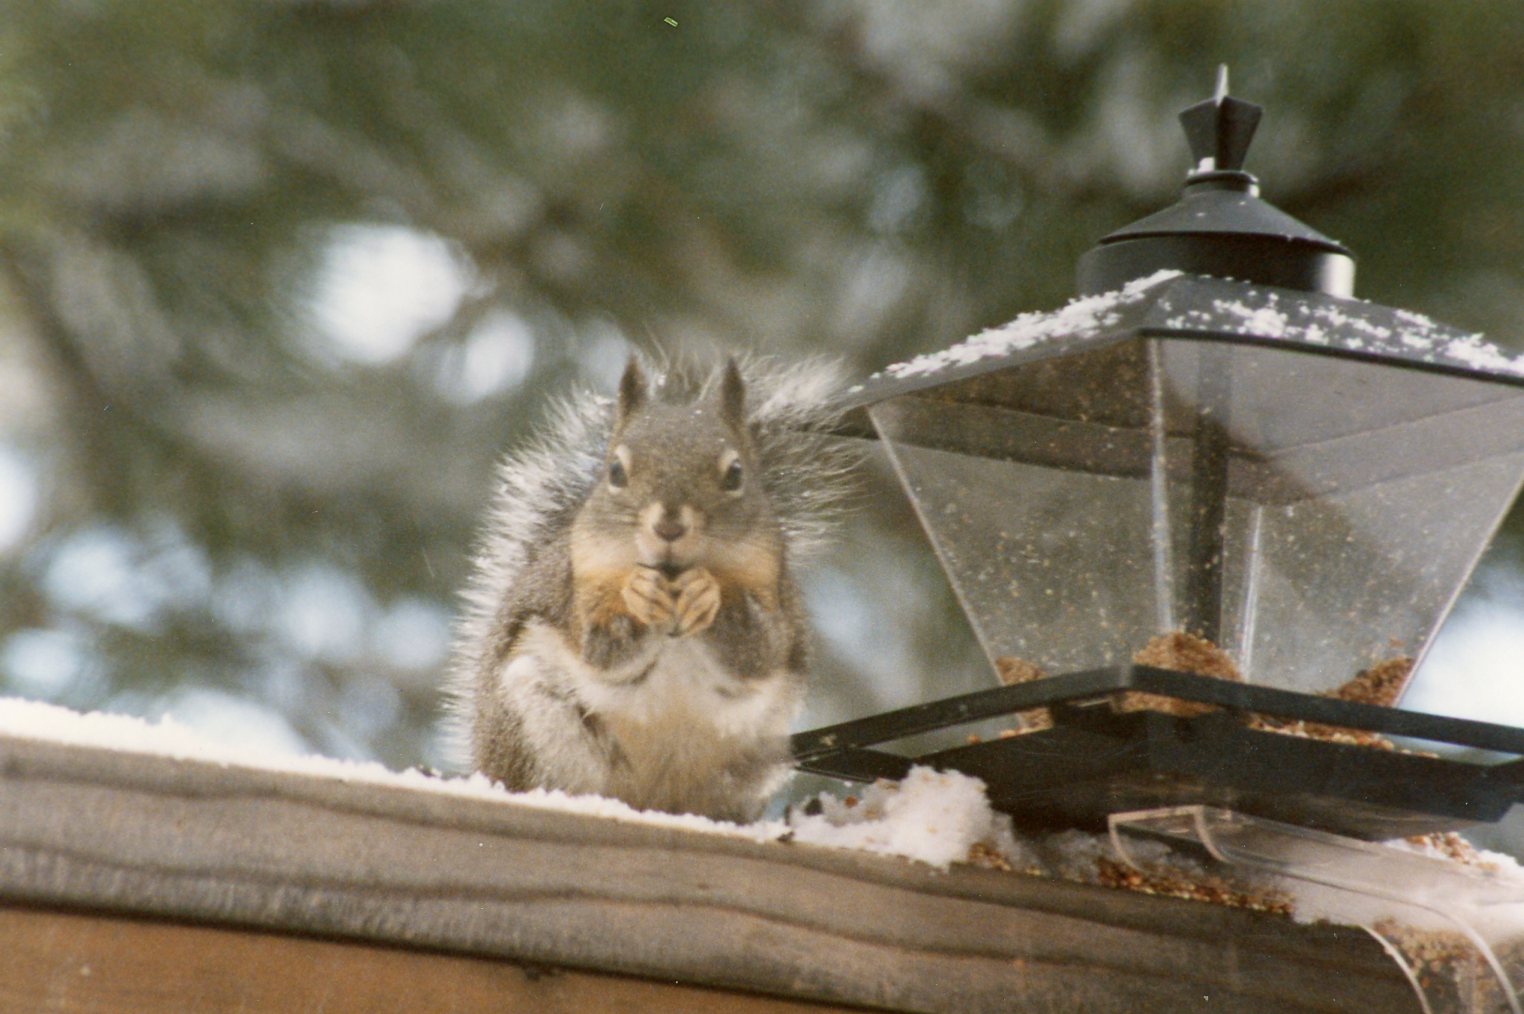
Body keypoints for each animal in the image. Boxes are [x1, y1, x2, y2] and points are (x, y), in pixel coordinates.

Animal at [445, 354, 854, 822]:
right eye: (615, 471)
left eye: (736, 473)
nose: (669, 525)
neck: (672, 573)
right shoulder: (573, 595)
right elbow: (601, 650)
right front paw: (637, 596)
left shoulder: (775, 596)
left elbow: (758, 651)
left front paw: (709, 596)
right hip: (537, 722)